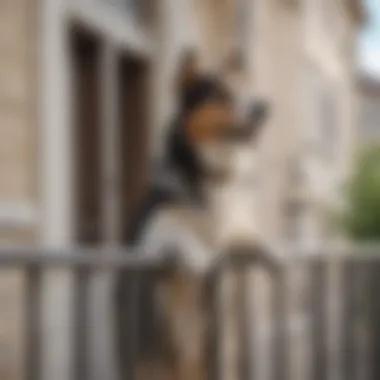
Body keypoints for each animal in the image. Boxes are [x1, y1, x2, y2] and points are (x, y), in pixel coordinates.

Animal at [114, 51, 268, 380]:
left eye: (244, 85)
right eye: (219, 93)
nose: (263, 108)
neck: (209, 175)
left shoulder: (237, 227)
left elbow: (243, 238)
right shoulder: (149, 237)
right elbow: (178, 235)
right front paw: (200, 255)